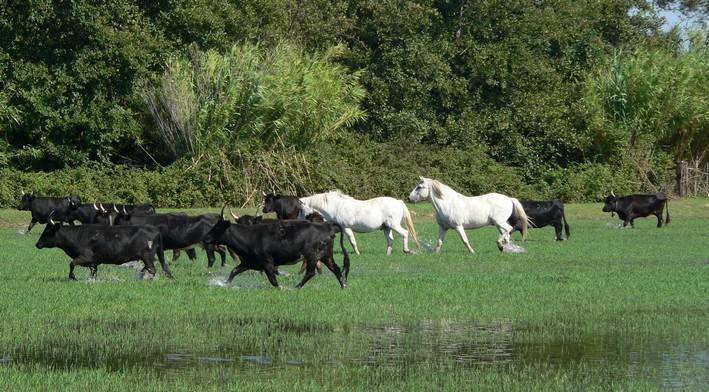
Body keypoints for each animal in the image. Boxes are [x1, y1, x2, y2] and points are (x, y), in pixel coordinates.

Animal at [35, 217, 173, 278]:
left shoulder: (85, 257)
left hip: (147, 257)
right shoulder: (94, 263)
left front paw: (72, 277)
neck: (78, 236)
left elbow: (72, 263)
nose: (37, 244)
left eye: (48, 231)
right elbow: (93, 273)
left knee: (152, 269)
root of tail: (154, 229)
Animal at [202, 214, 348, 288]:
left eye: (217, 228)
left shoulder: (267, 262)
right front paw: (225, 284)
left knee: (311, 273)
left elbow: (272, 279)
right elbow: (234, 271)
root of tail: (327, 226)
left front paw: (280, 288)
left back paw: (296, 287)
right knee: (336, 269)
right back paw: (343, 286)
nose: (205, 238)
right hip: (326, 256)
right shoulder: (248, 262)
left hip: (312, 256)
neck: (250, 237)